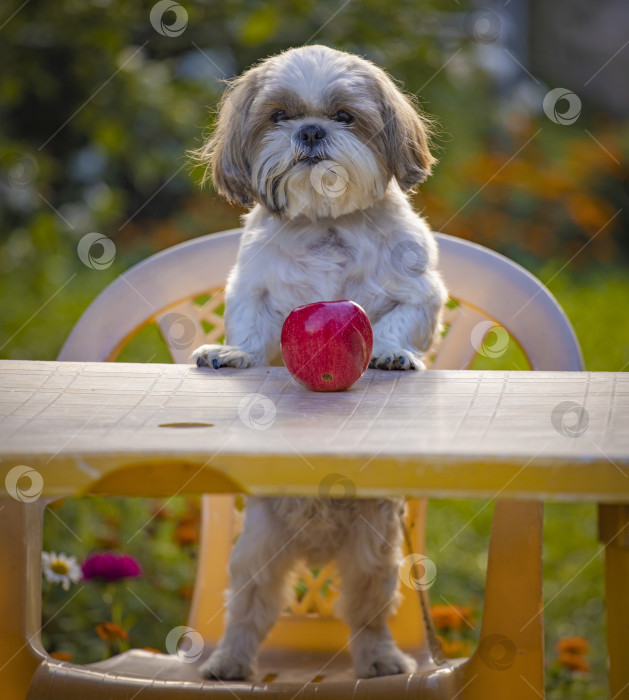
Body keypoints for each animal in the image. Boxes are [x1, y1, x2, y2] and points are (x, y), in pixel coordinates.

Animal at [191, 43, 446, 680]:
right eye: (278, 116)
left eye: (345, 117)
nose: (310, 131)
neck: (327, 222)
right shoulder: (251, 288)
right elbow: (252, 328)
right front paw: (231, 352)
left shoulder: (420, 291)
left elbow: (400, 320)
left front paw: (390, 353)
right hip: (258, 549)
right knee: (251, 606)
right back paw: (230, 661)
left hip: (373, 553)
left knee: (367, 612)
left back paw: (381, 660)